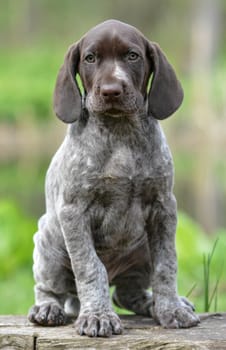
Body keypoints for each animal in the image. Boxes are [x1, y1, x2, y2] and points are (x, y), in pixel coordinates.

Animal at [28, 19, 200, 336]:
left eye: (132, 56)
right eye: (90, 58)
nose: (111, 91)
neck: (120, 133)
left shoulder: (164, 207)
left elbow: (166, 265)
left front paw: (171, 308)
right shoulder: (74, 212)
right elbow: (90, 267)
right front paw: (98, 316)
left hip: (142, 249)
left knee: (126, 293)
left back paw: (153, 303)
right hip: (49, 242)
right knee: (50, 288)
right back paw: (48, 309)